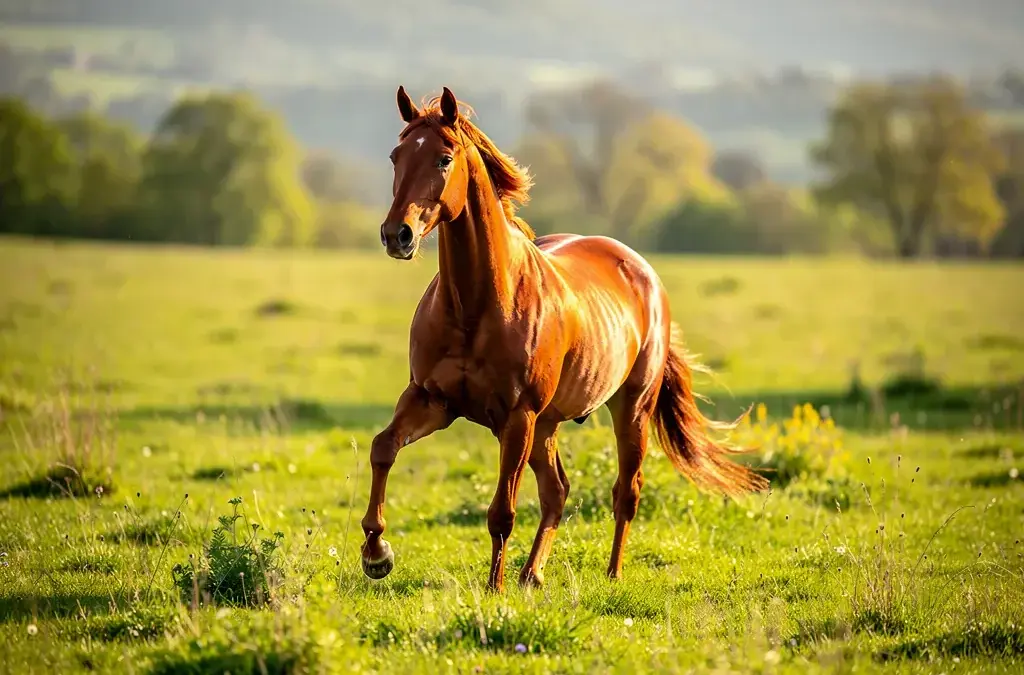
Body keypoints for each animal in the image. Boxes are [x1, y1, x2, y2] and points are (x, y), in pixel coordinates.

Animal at [359, 85, 768, 592]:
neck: (476, 306)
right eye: (396, 156)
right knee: (558, 491)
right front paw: (376, 554)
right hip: (548, 425)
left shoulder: (517, 417)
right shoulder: (430, 400)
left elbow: (502, 511)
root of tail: (644, 273)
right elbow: (383, 447)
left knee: (625, 491)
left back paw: (611, 574)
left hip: (628, 410)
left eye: (443, 158)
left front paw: (493, 589)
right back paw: (532, 574)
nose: (396, 235)